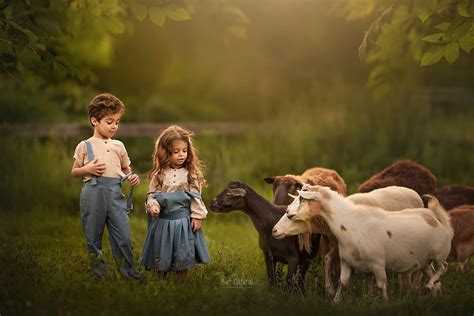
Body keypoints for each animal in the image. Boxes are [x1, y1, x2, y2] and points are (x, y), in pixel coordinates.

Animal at [284, 185, 454, 302]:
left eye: (302, 198)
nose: (287, 212)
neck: (348, 222)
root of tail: (439, 219)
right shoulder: (346, 262)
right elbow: (342, 283)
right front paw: (335, 301)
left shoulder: (377, 264)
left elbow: (382, 286)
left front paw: (385, 303)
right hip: (425, 260)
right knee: (433, 275)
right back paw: (433, 294)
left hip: (440, 254)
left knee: (443, 267)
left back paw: (428, 286)